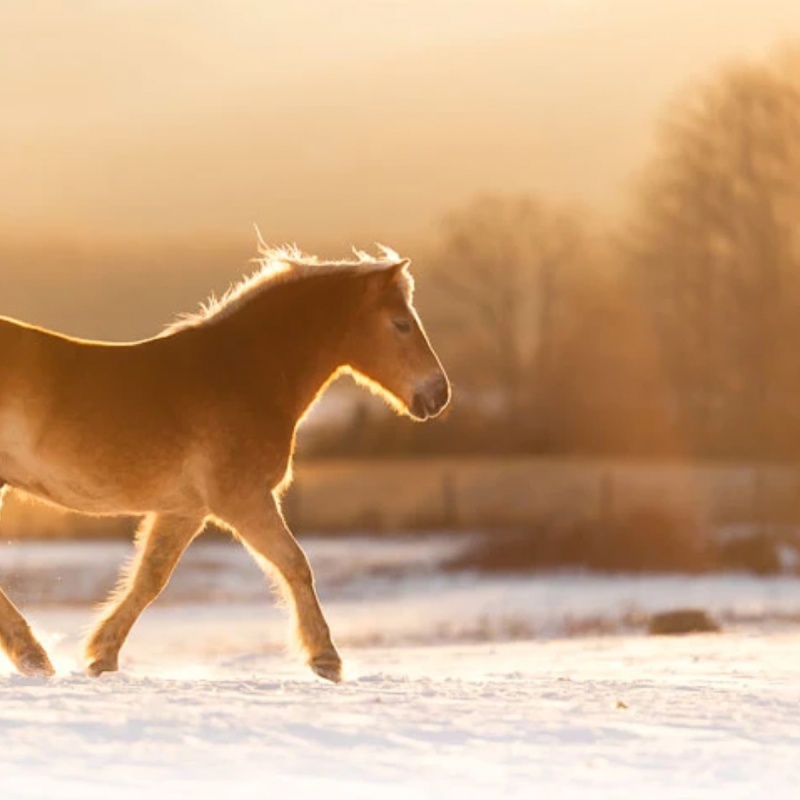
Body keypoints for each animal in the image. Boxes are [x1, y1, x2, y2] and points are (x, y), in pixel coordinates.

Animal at [0, 244, 450, 680]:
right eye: (402, 323)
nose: (439, 394)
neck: (243, 374)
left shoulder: (186, 510)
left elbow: (150, 578)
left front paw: (102, 656)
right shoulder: (243, 500)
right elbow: (295, 564)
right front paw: (327, 660)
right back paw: (34, 658)